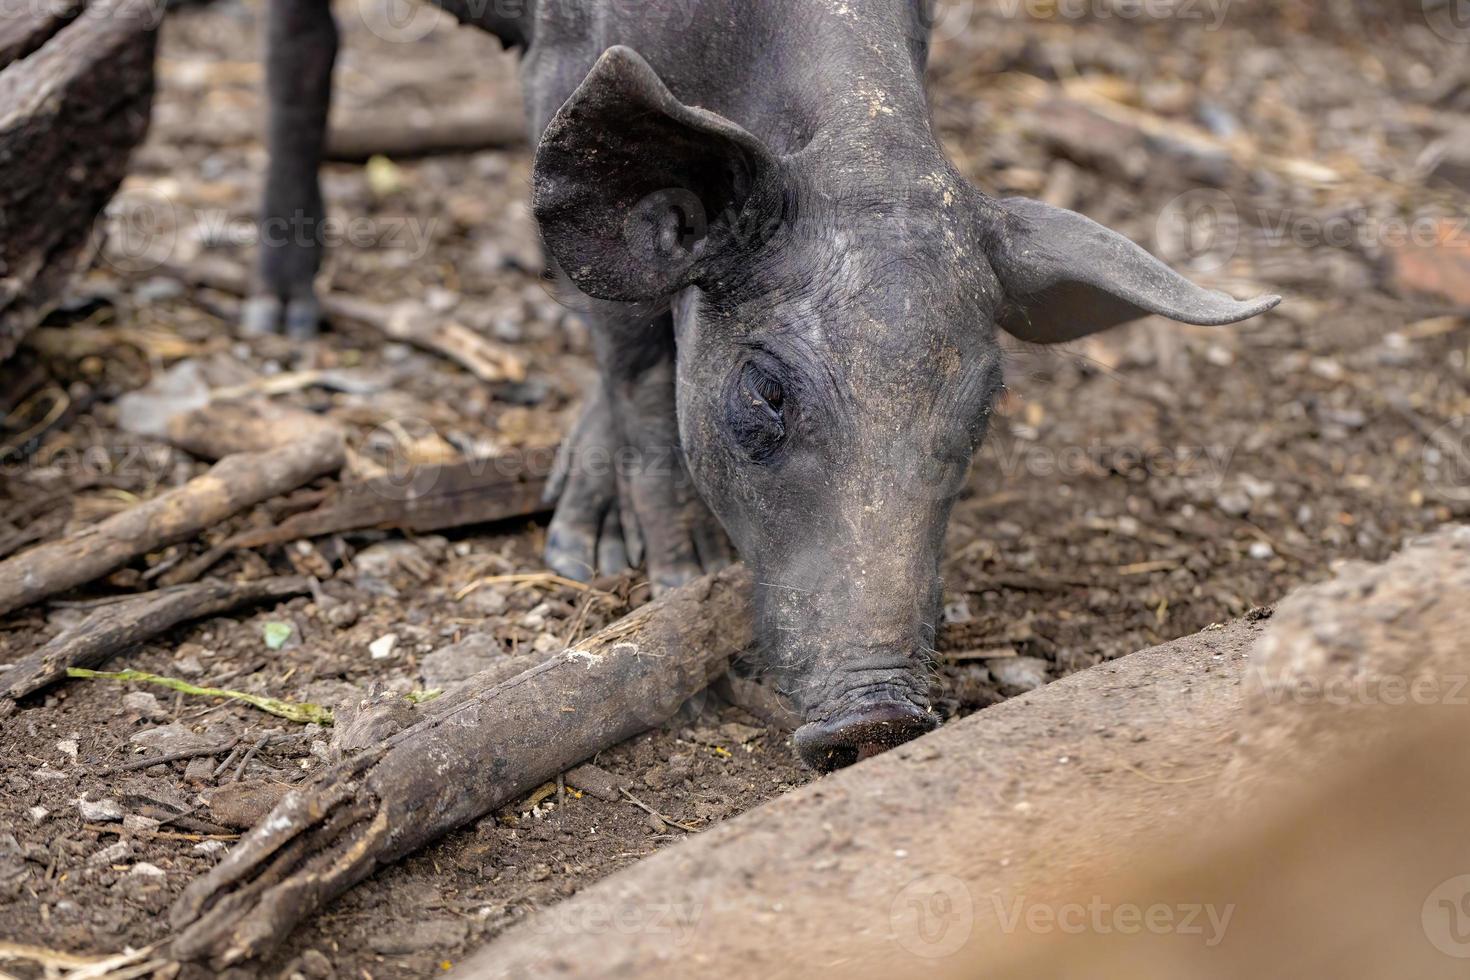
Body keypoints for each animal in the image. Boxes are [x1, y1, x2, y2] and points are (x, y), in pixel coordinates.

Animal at [252, 0, 1275, 769]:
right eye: (767, 392)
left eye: (982, 408)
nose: (881, 717)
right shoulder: (559, 67)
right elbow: (634, 350)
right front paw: (650, 571)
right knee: (300, 50)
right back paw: (280, 320)